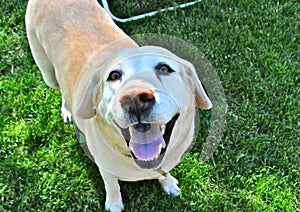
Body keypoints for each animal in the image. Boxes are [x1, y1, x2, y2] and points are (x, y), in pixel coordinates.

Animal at [26, 0, 211, 210]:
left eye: (164, 68)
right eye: (114, 75)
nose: (135, 100)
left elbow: (164, 171)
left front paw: (168, 182)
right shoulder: (105, 168)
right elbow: (112, 185)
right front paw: (114, 204)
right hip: (47, 71)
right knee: (60, 88)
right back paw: (67, 110)